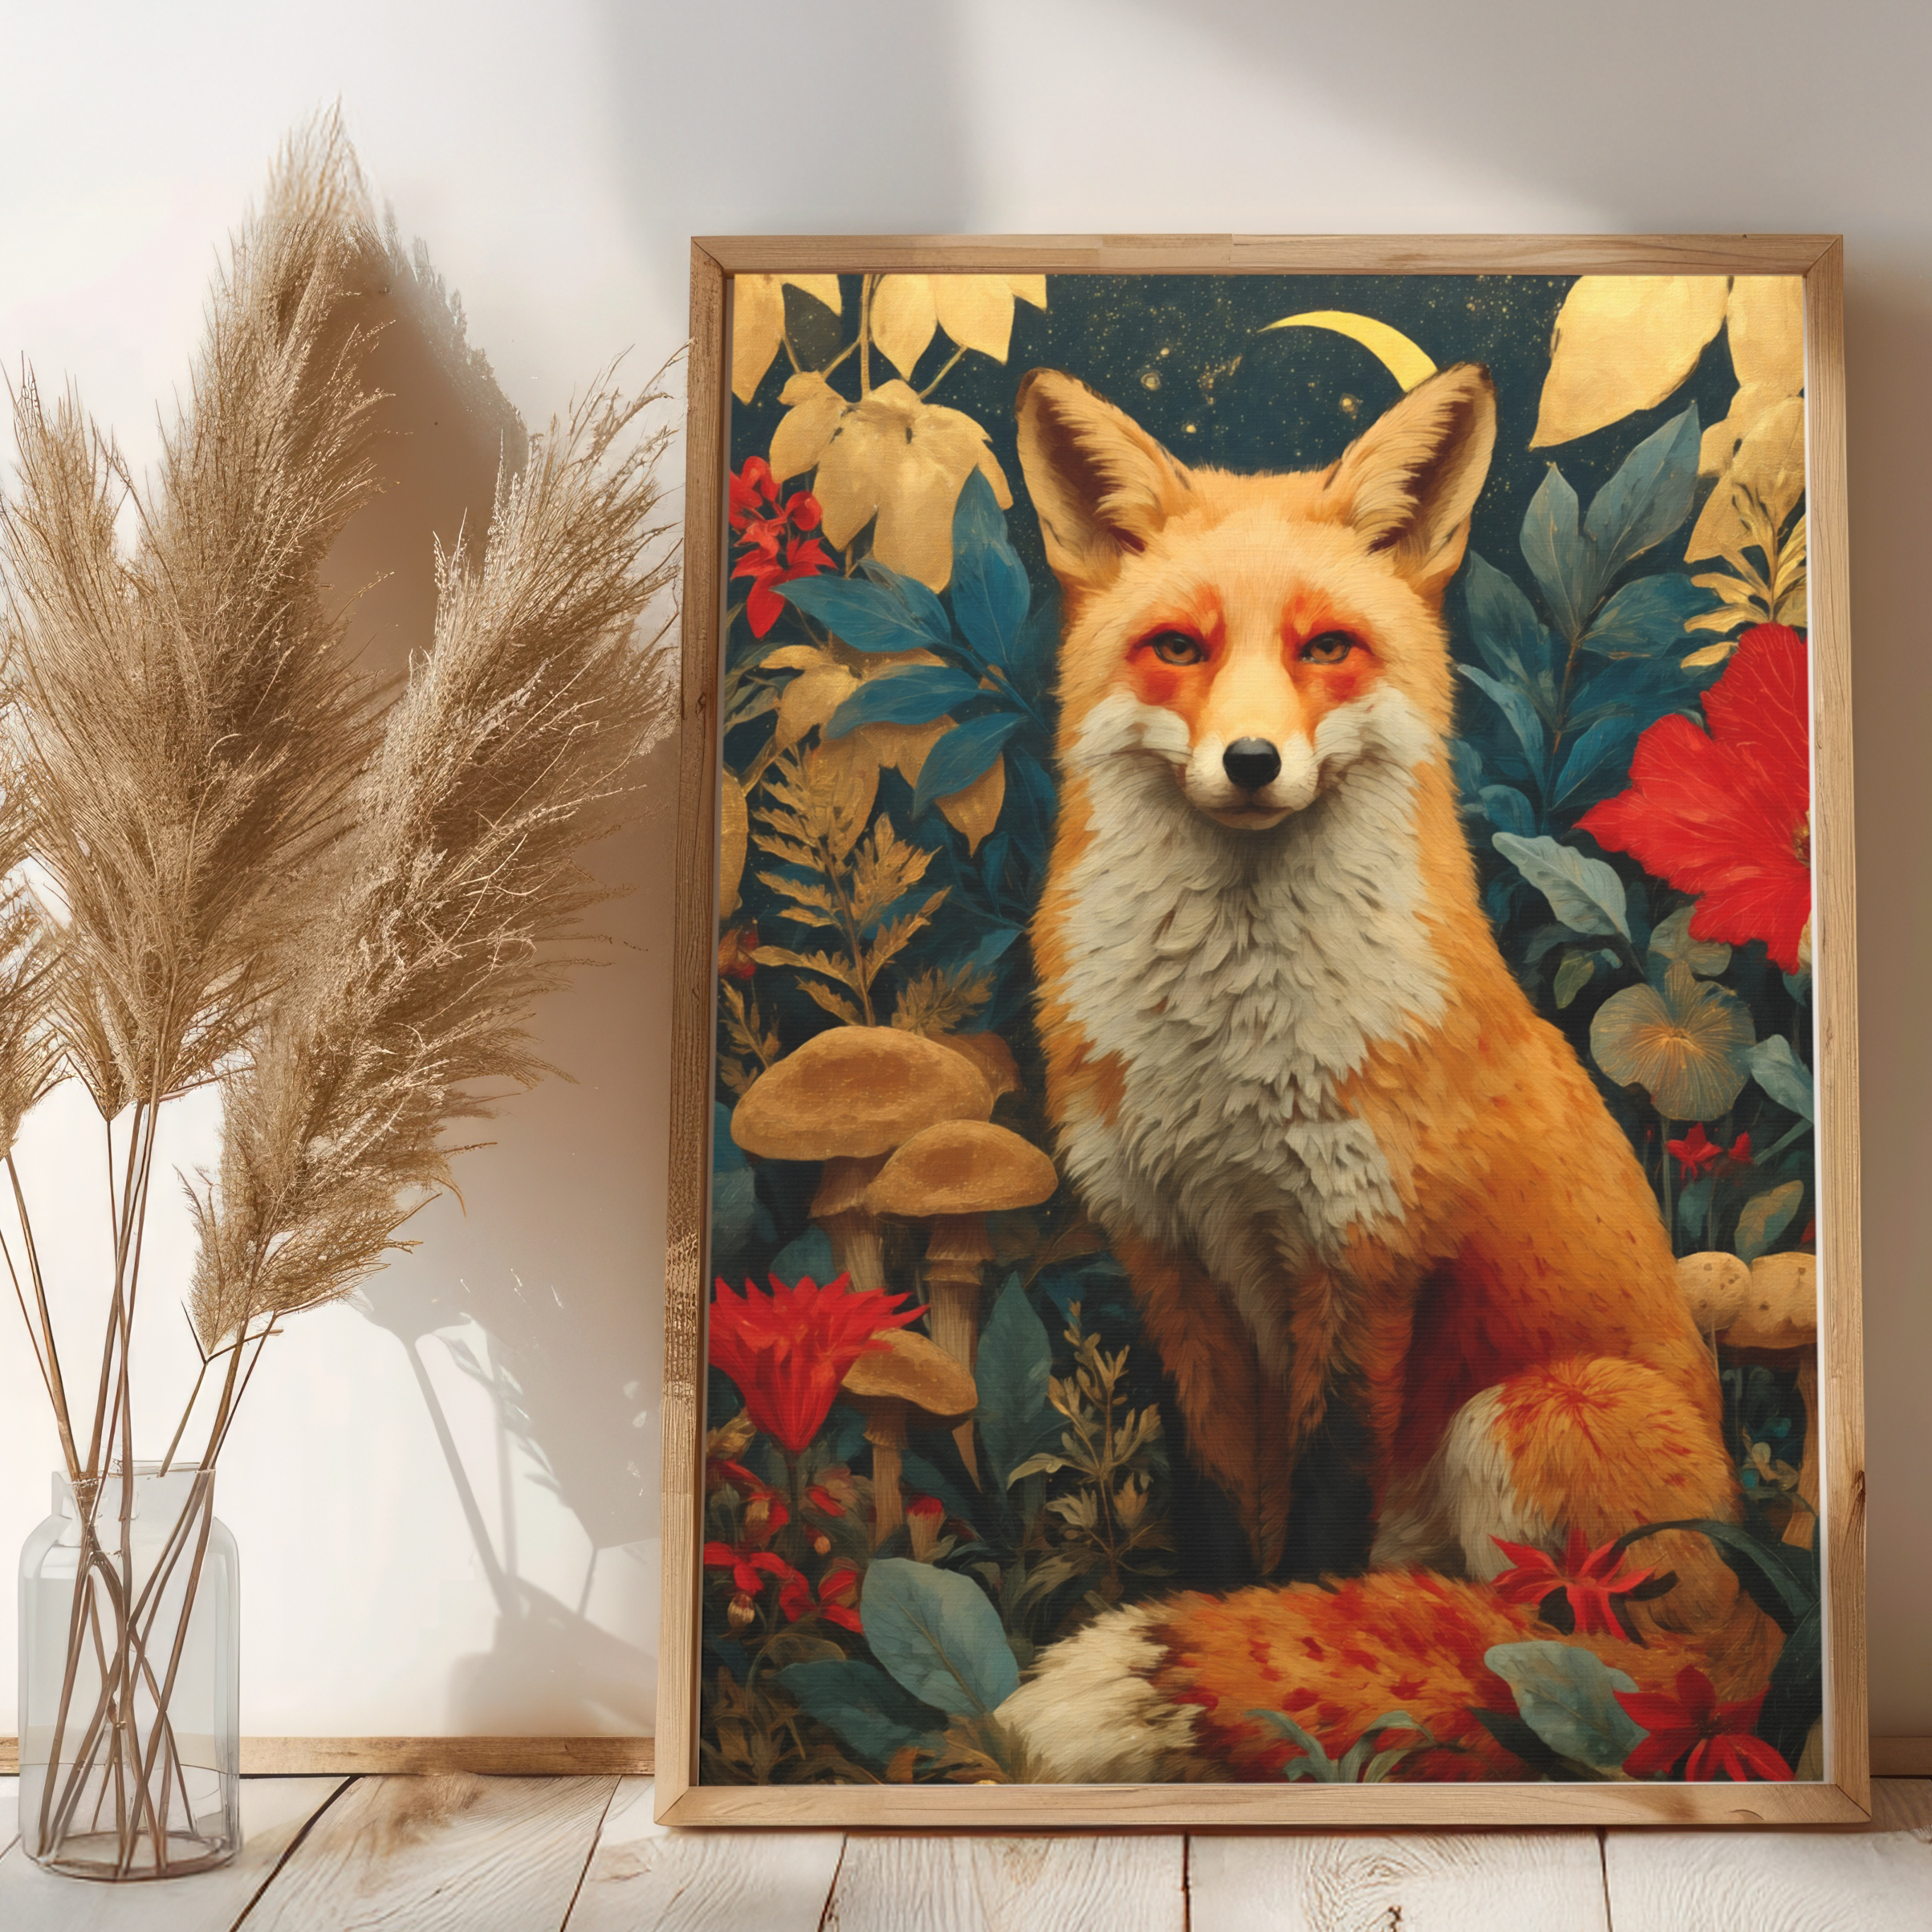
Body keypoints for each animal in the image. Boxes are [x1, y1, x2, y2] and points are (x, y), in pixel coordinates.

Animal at [995, 365, 1772, 1782]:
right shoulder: (1171, 1255)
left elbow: (1319, 1515)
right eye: (1178, 648)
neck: (1229, 1055)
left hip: (1532, 1409)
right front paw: (1226, 1632)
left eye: (1325, 648)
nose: (1251, 762)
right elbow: (1215, 1504)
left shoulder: (1362, 1259)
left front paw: (1276, 1686)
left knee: (1546, 1659)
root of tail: (1747, 1636)